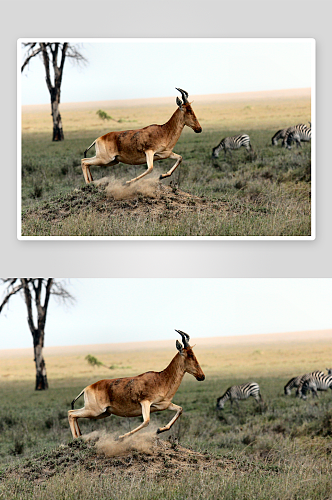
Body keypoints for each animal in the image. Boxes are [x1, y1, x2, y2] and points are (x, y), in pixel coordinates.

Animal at [68, 330, 205, 440]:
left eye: (193, 353)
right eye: (189, 355)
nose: (202, 376)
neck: (161, 378)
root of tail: (87, 388)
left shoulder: (163, 405)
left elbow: (180, 410)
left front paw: (159, 430)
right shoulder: (145, 402)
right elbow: (146, 421)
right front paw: (121, 437)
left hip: (102, 413)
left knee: (74, 414)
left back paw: (80, 436)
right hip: (95, 411)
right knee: (71, 413)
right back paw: (76, 439)